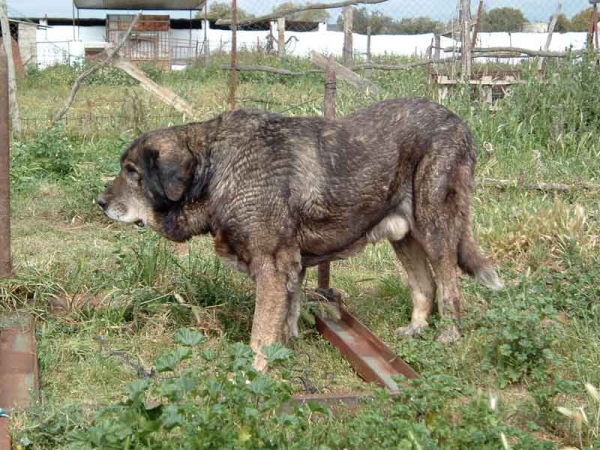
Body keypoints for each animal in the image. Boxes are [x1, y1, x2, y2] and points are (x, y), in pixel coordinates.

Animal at [97, 97, 502, 370]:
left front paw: (251, 373)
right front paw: (286, 352)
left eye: (132, 171)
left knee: (449, 287)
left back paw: (449, 336)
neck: (215, 168)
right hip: (405, 236)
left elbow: (261, 332)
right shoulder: (292, 268)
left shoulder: (272, 267)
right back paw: (416, 330)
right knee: (425, 286)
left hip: (436, 228)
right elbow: (286, 318)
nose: (99, 202)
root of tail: (459, 123)